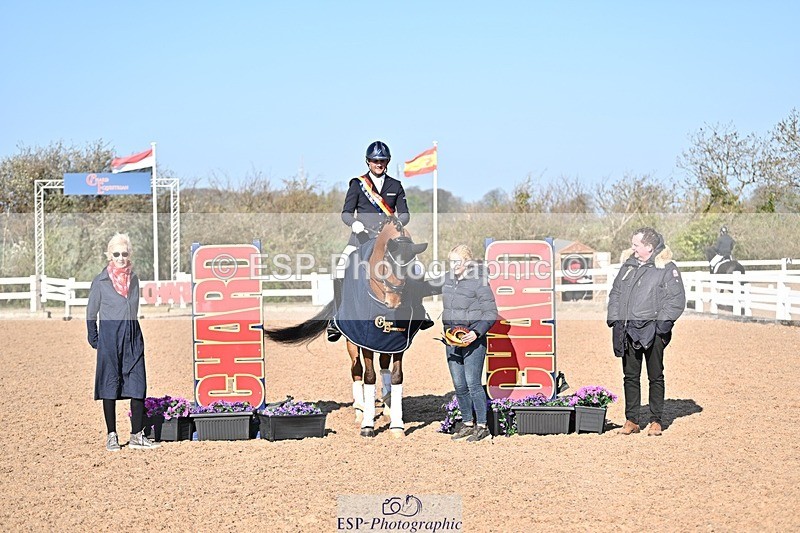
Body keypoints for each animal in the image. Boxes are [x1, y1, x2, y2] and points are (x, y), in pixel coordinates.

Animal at [263, 217, 429, 438]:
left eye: (411, 267)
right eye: (386, 262)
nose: (393, 302)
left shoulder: (398, 342)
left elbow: (396, 377)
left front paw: (397, 425)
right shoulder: (365, 340)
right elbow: (369, 376)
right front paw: (367, 425)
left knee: (383, 367)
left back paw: (386, 406)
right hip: (352, 342)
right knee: (357, 370)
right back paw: (360, 410)